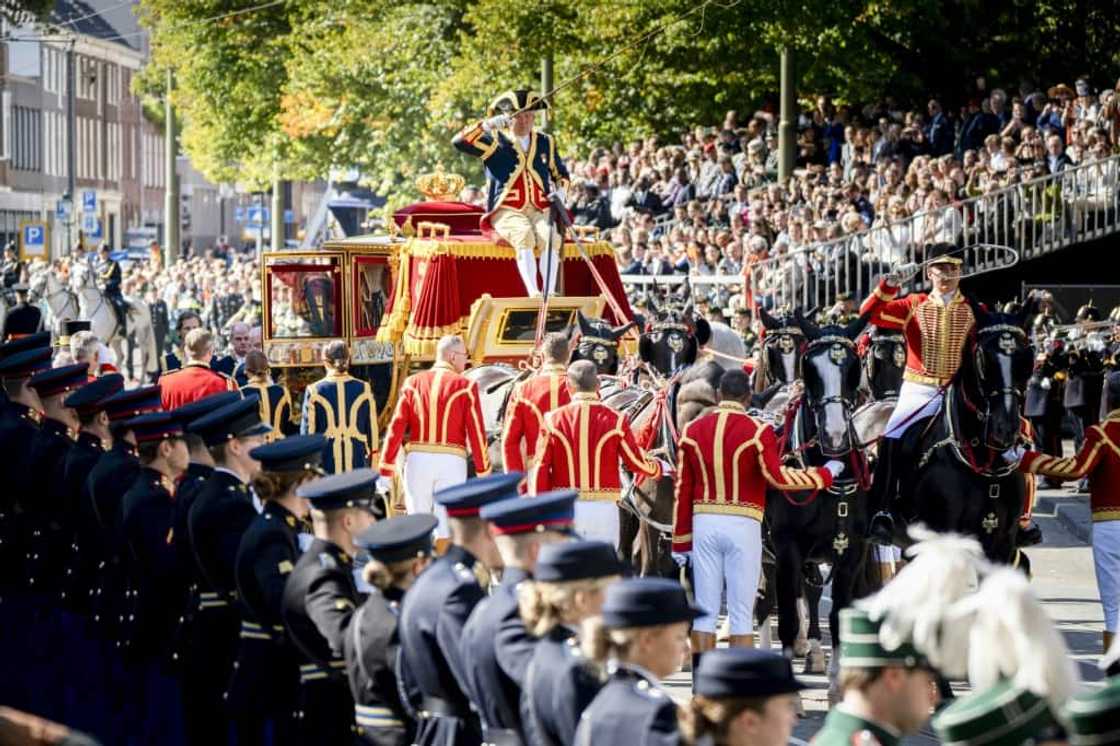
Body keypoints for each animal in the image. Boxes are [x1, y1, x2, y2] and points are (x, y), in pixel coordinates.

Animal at [761, 309, 882, 667]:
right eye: (810, 367)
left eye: (853, 368)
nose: (835, 434)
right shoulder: (786, 547)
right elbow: (787, 618)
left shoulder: (851, 552)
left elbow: (839, 616)